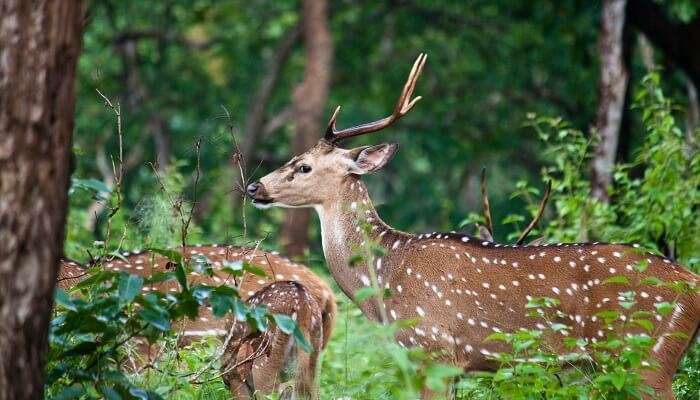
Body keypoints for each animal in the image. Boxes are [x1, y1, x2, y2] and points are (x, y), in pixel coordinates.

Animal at [246, 54, 700, 400]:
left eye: (303, 166)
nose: (254, 186)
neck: (385, 282)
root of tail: (691, 282)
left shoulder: (434, 350)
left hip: (646, 359)